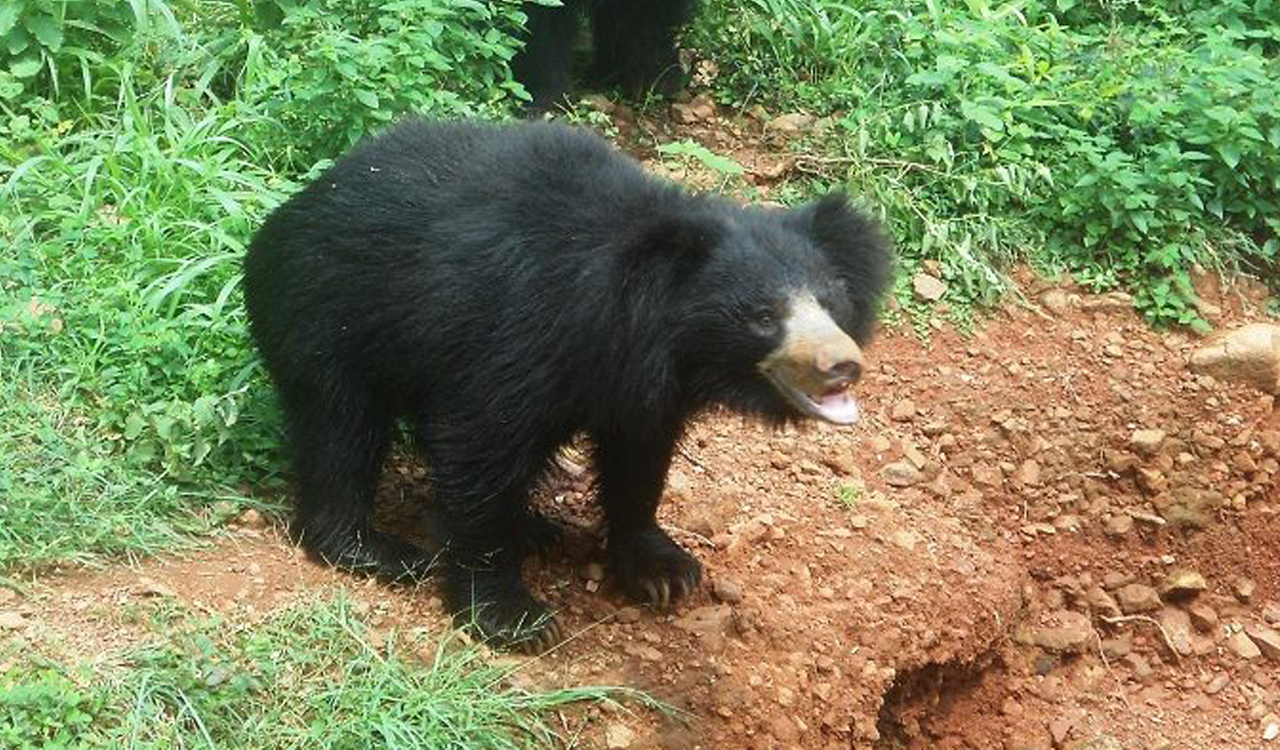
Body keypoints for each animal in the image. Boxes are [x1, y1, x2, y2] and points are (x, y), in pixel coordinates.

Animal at [244, 116, 896, 647]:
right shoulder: (518, 331)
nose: (842, 364)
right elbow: (481, 444)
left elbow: (639, 457)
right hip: (325, 312)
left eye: (832, 301)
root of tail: (296, 206)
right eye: (762, 316)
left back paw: (533, 526)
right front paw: (511, 615)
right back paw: (375, 548)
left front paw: (663, 570)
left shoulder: (640, 382)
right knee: (341, 426)